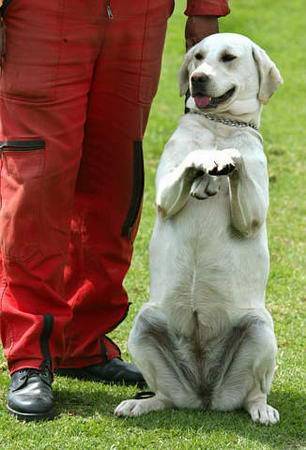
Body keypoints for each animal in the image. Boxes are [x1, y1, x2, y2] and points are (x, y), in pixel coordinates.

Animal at [116, 33, 284, 424]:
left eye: (228, 58)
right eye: (198, 57)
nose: (198, 79)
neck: (219, 125)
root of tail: (206, 395)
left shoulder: (251, 217)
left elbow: (235, 158)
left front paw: (220, 163)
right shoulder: (165, 197)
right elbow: (194, 160)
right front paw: (206, 167)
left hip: (260, 329)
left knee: (253, 394)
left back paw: (262, 409)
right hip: (144, 325)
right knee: (165, 396)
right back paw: (141, 403)